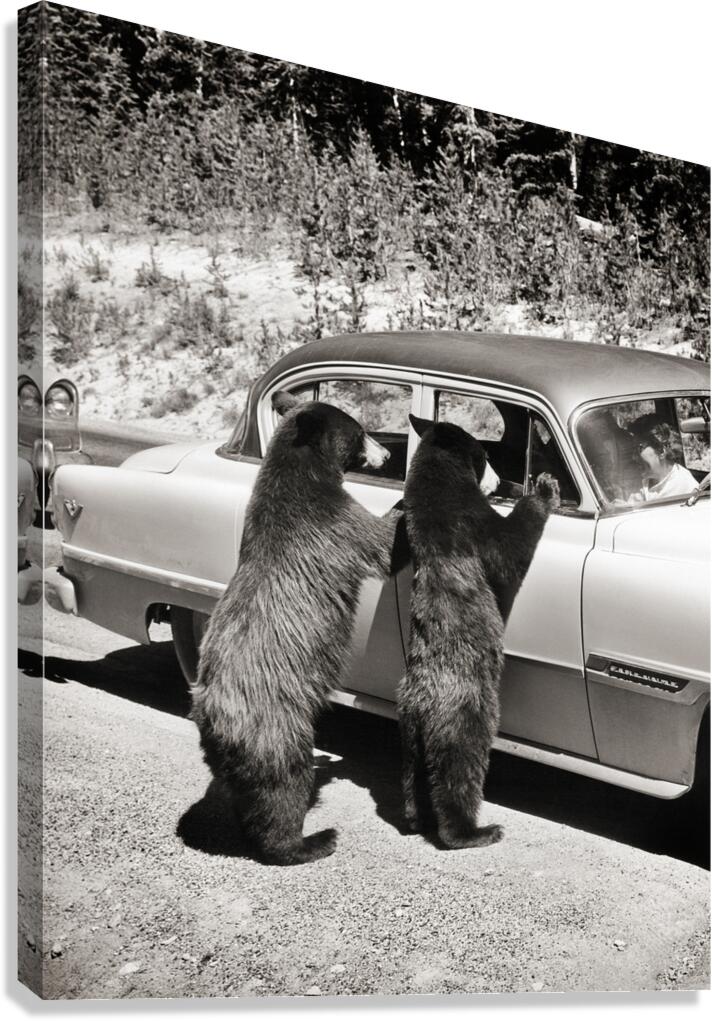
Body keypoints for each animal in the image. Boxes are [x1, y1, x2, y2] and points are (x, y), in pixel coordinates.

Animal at [191, 390, 404, 866]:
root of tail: (213, 720)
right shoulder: (333, 522)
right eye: (361, 431)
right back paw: (310, 840)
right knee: (284, 785)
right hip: (277, 726)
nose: (387, 453)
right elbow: (383, 543)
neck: (304, 473)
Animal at [397, 413, 560, 850]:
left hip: (409, 733)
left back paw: (416, 819)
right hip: (466, 717)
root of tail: (422, 707)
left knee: (413, 778)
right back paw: (475, 830)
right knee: (460, 770)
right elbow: (508, 550)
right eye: (485, 455)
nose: (499, 480)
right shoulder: (469, 520)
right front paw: (544, 487)